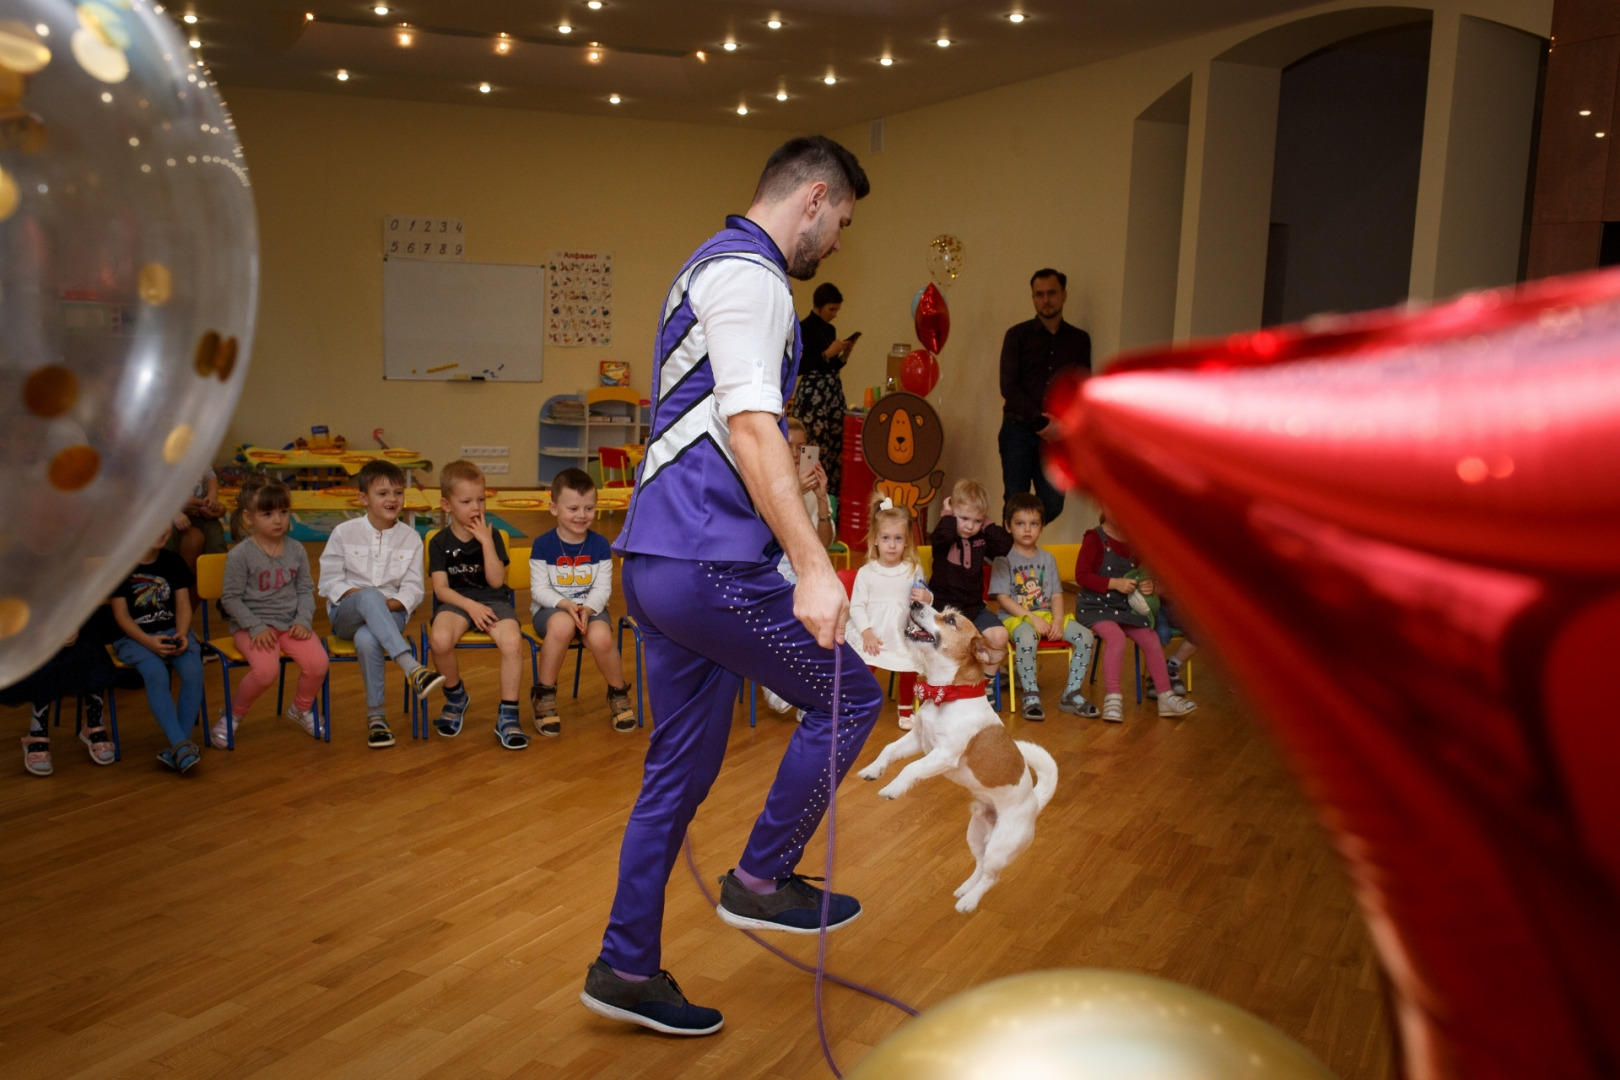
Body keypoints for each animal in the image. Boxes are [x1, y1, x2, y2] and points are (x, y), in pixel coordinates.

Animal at [855, 599, 1056, 913]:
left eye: (950, 620)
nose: (915, 601)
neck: (947, 692)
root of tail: (1035, 801)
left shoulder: (942, 755)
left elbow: (911, 769)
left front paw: (893, 788)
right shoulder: (918, 739)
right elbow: (889, 750)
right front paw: (873, 770)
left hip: (1001, 845)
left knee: (991, 876)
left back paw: (970, 902)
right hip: (976, 834)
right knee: (980, 865)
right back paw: (964, 889)